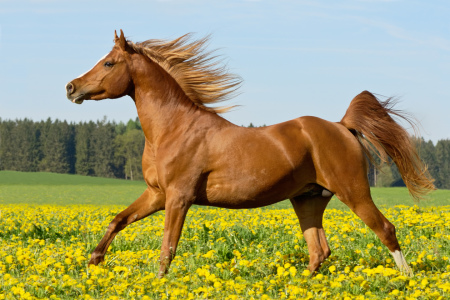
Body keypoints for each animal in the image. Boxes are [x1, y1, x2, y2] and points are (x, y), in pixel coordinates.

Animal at [65, 29, 434, 276]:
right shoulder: (156, 194)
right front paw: (93, 261)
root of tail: (341, 126)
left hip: (354, 191)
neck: (173, 129)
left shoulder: (179, 197)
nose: (71, 87)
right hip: (308, 199)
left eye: (108, 63)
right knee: (320, 251)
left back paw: (406, 280)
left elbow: (167, 248)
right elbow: (117, 220)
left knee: (385, 230)